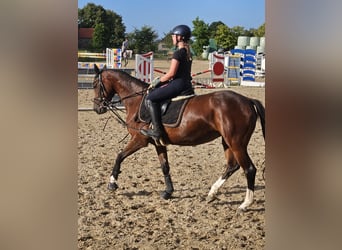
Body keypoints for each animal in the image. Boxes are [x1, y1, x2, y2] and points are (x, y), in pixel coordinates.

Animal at [91, 64, 264, 211]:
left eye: (94, 85)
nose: (97, 108)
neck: (136, 100)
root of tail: (247, 101)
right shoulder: (158, 143)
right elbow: (165, 167)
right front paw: (168, 192)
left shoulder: (139, 140)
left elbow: (119, 156)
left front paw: (112, 183)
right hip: (227, 142)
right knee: (232, 166)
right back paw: (212, 193)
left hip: (236, 142)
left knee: (249, 169)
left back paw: (245, 204)